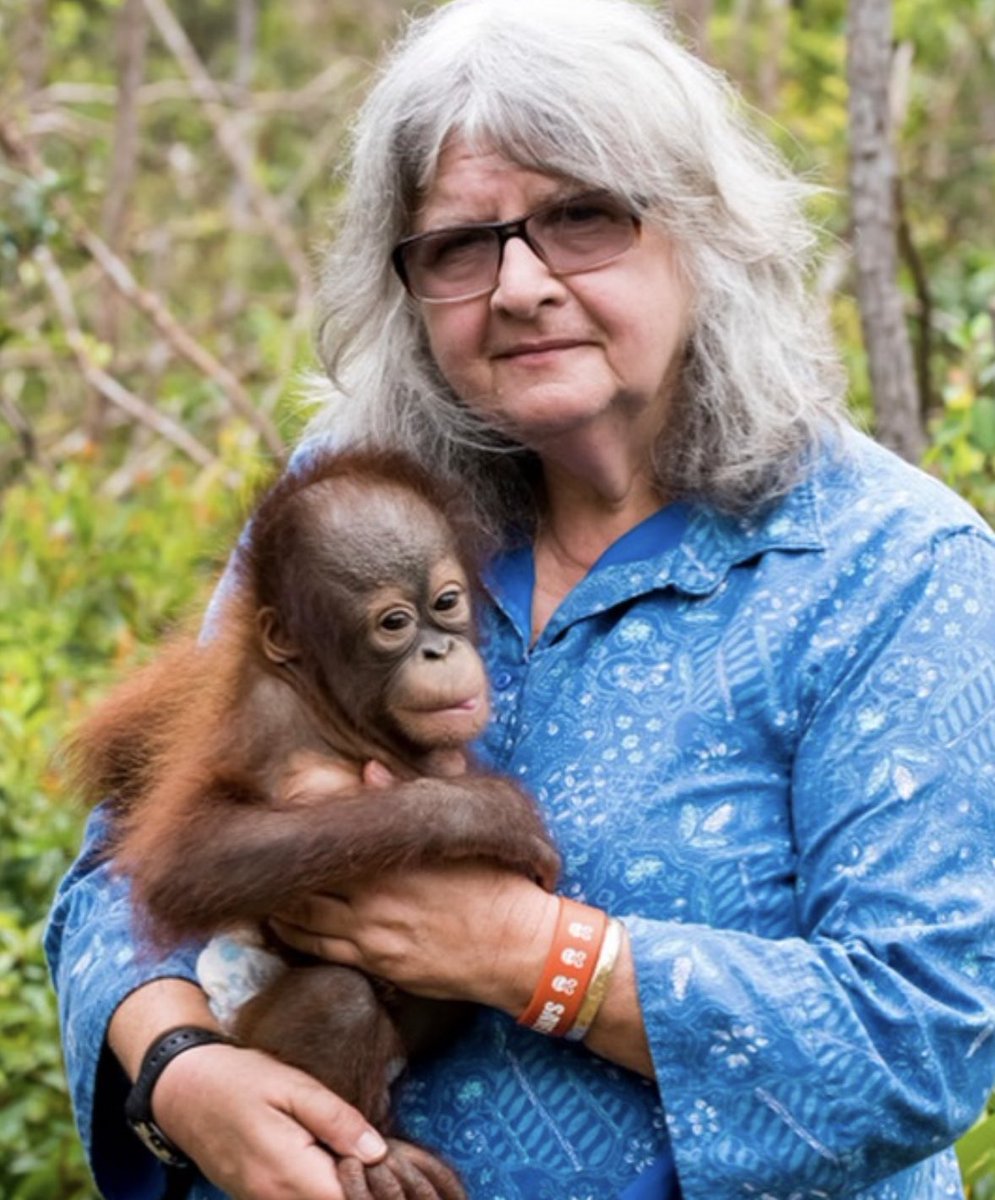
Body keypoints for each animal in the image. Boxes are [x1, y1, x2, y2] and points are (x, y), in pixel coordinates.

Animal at [68, 447, 562, 1200]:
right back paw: (378, 1155)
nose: (439, 652)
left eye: (446, 604)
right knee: (338, 999)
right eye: (393, 624)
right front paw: (486, 813)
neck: (335, 710)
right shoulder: (261, 718)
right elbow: (186, 859)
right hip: (250, 1034)